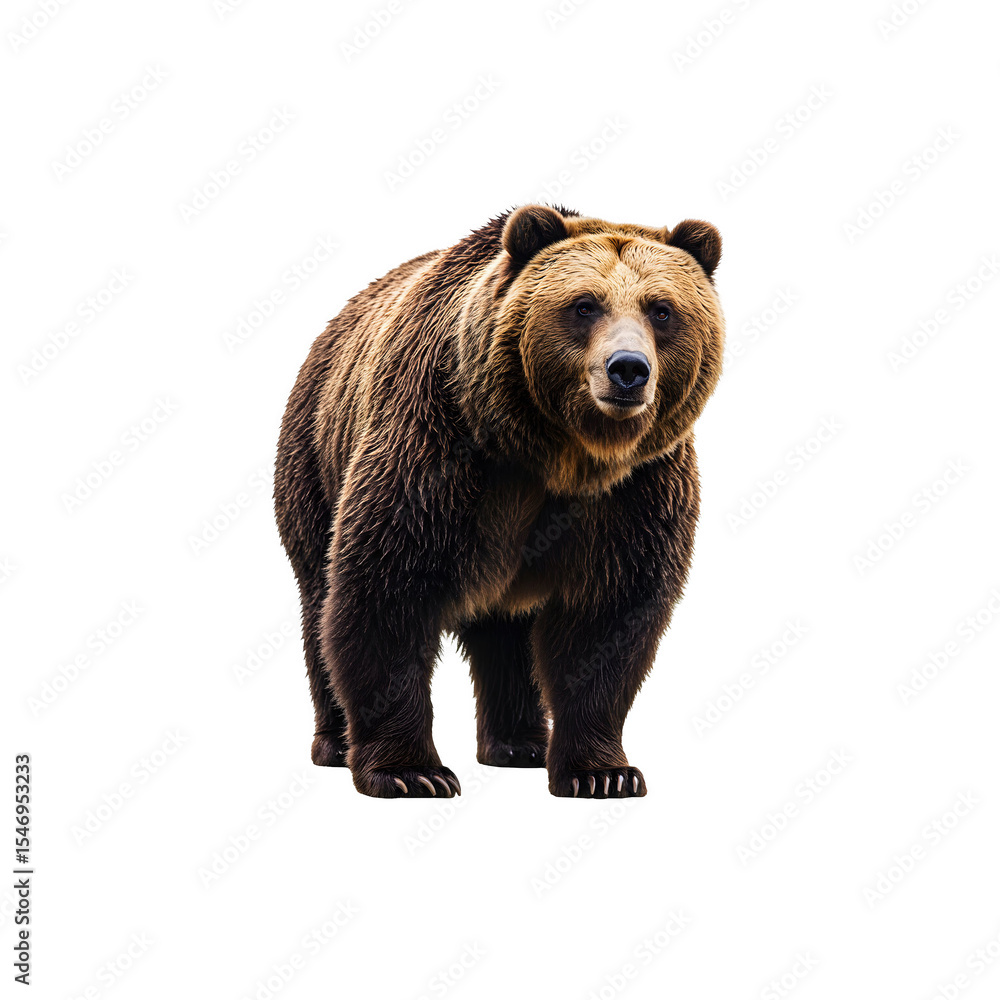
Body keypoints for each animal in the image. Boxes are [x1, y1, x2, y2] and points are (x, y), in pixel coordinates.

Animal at [274, 204, 724, 798]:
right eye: (584, 305)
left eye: (662, 309)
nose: (628, 368)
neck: (556, 452)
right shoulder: (437, 445)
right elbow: (387, 591)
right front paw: (411, 771)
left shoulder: (637, 489)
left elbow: (608, 618)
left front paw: (604, 772)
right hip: (315, 458)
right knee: (318, 596)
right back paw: (333, 743)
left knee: (505, 634)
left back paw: (518, 744)